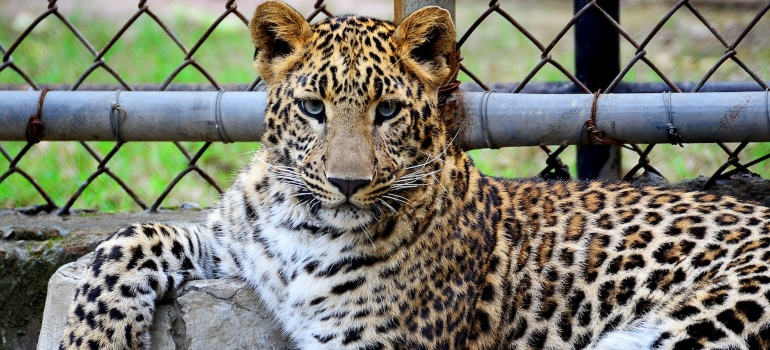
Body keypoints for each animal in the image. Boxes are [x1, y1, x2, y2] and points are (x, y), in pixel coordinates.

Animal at [58, 1, 768, 348]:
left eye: (388, 110)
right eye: (313, 107)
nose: (346, 184)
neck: (306, 225)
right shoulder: (236, 242)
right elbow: (132, 239)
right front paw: (92, 337)